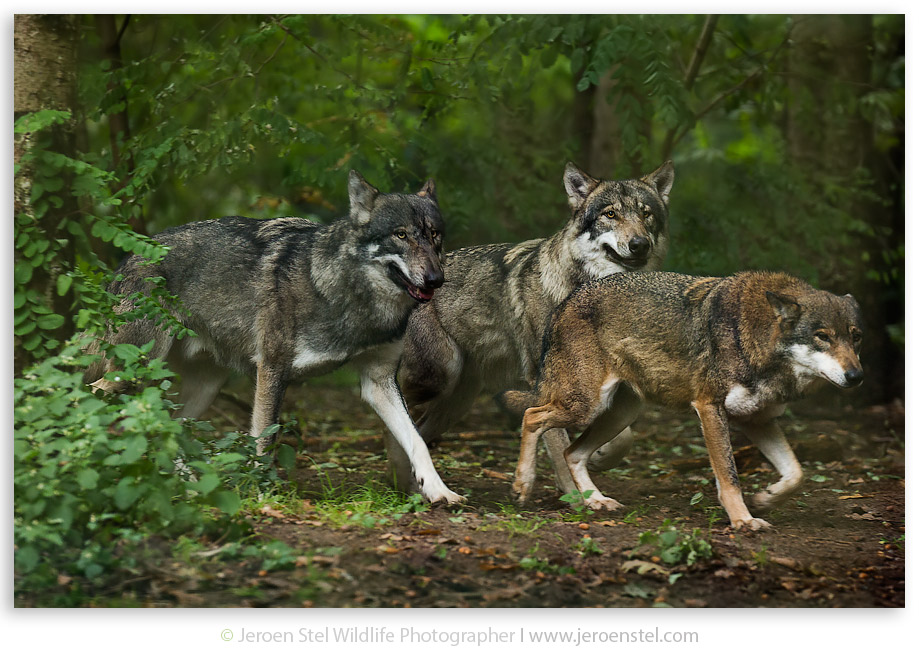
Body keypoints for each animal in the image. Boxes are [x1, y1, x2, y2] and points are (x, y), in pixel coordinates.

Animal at [84, 170, 464, 504]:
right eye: (401, 235)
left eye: (434, 235)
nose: (436, 279)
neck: (349, 295)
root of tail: (128, 257)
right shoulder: (272, 369)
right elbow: (264, 440)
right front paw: (263, 496)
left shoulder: (379, 381)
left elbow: (417, 440)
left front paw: (439, 491)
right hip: (135, 371)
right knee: (95, 397)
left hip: (203, 388)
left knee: (169, 425)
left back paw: (190, 487)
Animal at [392, 161, 674, 494]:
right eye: (610, 214)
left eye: (646, 214)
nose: (639, 244)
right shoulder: (541, 381)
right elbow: (557, 444)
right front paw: (574, 495)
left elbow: (620, 436)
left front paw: (598, 458)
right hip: (438, 375)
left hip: (455, 403)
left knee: (419, 431)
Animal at [505, 271, 864, 530]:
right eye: (823, 337)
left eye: (855, 337)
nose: (857, 376)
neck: (757, 341)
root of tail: (566, 301)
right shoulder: (709, 408)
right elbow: (729, 477)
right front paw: (743, 520)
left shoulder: (757, 421)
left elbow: (796, 474)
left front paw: (767, 498)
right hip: (584, 406)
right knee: (531, 415)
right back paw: (523, 484)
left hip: (618, 414)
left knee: (572, 452)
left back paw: (596, 501)